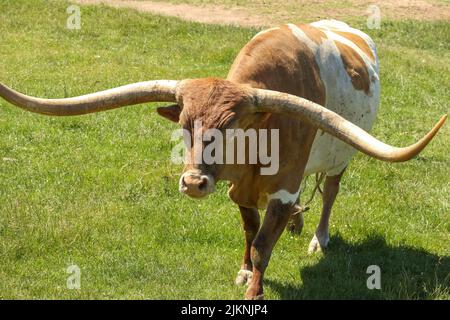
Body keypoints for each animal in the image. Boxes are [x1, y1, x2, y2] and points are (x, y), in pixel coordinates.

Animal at [0, 20, 444, 300]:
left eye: (233, 126)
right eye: (184, 124)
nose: (194, 183)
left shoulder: (284, 187)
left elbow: (264, 243)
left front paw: (255, 288)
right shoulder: (240, 190)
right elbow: (250, 232)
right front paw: (245, 270)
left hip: (340, 160)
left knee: (330, 192)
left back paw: (318, 237)